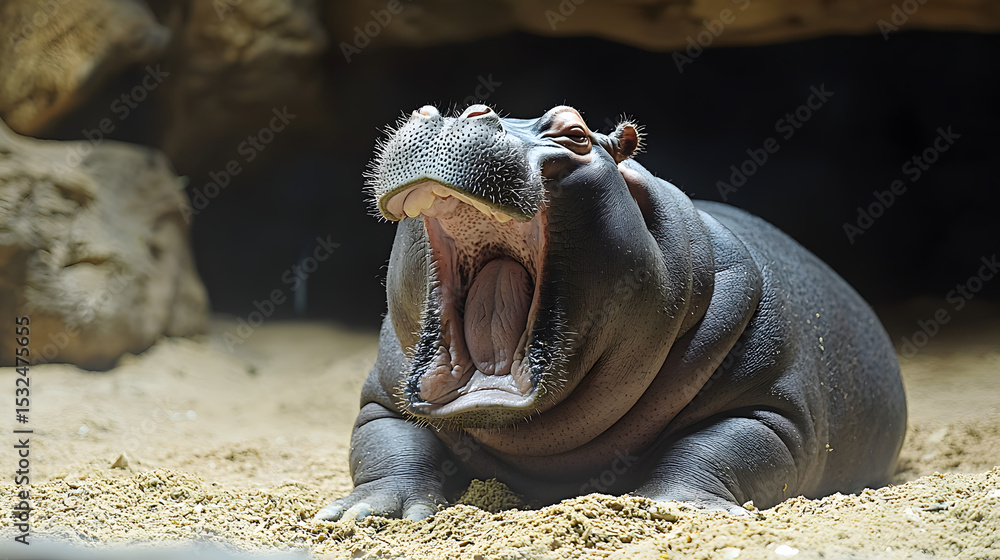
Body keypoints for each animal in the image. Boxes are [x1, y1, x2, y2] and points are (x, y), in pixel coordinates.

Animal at [315, 104, 907, 521]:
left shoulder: (770, 405)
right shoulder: (384, 394)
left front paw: (671, 507)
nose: (457, 114)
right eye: (425, 111)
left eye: (575, 133)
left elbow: (724, 447)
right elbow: (387, 441)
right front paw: (367, 512)